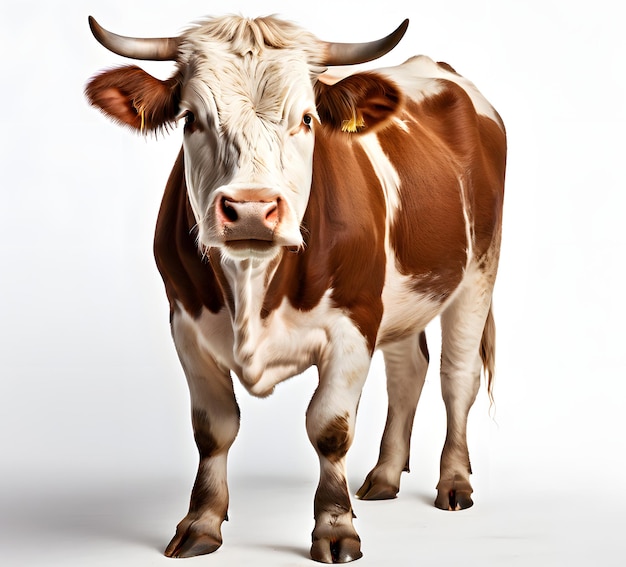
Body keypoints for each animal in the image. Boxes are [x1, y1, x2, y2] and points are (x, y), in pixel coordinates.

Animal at [86, 13, 508, 564]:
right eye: (190, 119)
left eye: (307, 119)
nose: (250, 209)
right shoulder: (186, 326)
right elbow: (213, 429)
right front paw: (201, 522)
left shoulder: (353, 323)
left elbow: (329, 428)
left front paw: (335, 527)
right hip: (399, 297)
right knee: (408, 373)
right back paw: (384, 476)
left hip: (477, 272)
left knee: (457, 378)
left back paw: (454, 482)